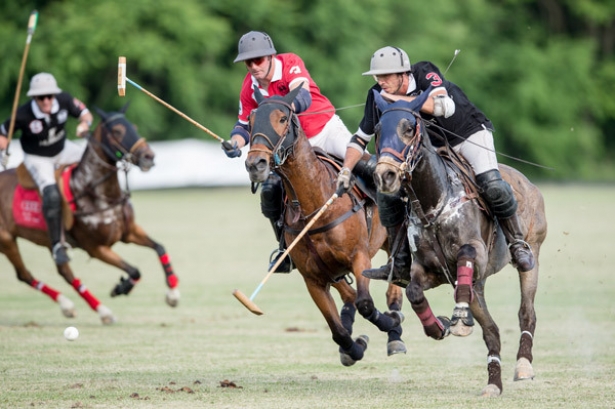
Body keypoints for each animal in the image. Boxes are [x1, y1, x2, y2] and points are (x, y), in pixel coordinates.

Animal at [1, 107, 180, 324]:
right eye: (118, 131)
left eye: (135, 127)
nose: (149, 156)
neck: (101, 194)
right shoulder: (96, 248)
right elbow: (134, 270)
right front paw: (121, 287)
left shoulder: (129, 233)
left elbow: (160, 247)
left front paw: (173, 294)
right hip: (6, 239)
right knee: (25, 274)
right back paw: (89, 309)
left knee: (63, 271)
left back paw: (84, 309)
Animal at [245, 85, 410, 364]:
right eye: (250, 120)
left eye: (282, 119)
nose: (255, 164)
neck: (315, 205)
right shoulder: (313, 278)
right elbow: (338, 329)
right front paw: (355, 347)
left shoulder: (359, 257)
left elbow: (365, 303)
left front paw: (390, 323)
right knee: (349, 295)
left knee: (393, 288)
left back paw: (396, 335)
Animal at [370, 90, 548, 396]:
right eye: (378, 130)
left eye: (409, 128)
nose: (386, 176)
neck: (432, 205)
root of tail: (529, 183)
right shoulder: (429, 271)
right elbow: (413, 292)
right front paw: (439, 326)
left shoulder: (475, 253)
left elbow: (465, 256)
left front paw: (460, 317)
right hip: (481, 283)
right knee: (491, 331)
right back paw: (493, 383)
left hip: (532, 255)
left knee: (527, 312)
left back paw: (523, 365)